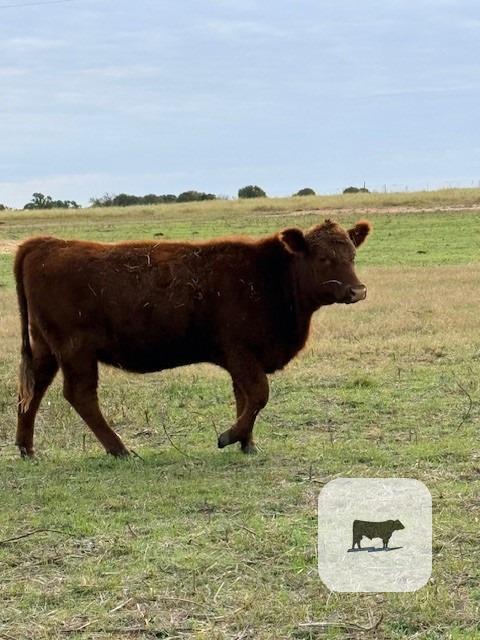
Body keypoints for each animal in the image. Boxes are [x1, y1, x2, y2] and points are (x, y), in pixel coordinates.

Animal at [14, 218, 371, 458]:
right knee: (80, 396)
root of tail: (46, 243)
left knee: (33, 391)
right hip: (76, 352)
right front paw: (229, 437)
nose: (357, 291)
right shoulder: (241, 353)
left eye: (353, 255)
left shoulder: (242, 361)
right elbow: (258, 395)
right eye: (323, 258)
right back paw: (121, 450)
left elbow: (244, 398)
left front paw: (247, 443)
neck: (271, 275)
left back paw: (26, 448)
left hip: (47, 349)